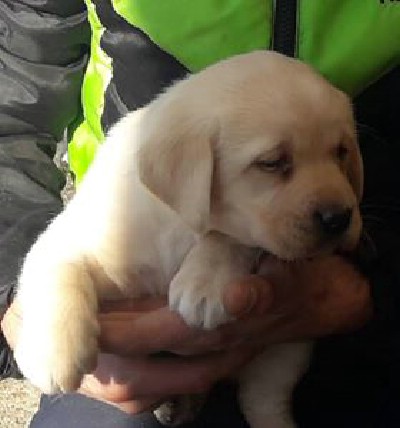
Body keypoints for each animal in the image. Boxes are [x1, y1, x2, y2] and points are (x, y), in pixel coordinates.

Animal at [14, 51, 362, 428]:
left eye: (341, 152)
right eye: (271, 163)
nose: (339, 218)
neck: (178, 227)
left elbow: (227, 236)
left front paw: (205, 283)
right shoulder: (72, 239)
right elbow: (56, 271)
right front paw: (52, 353)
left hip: (286, 353)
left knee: (265, 403)